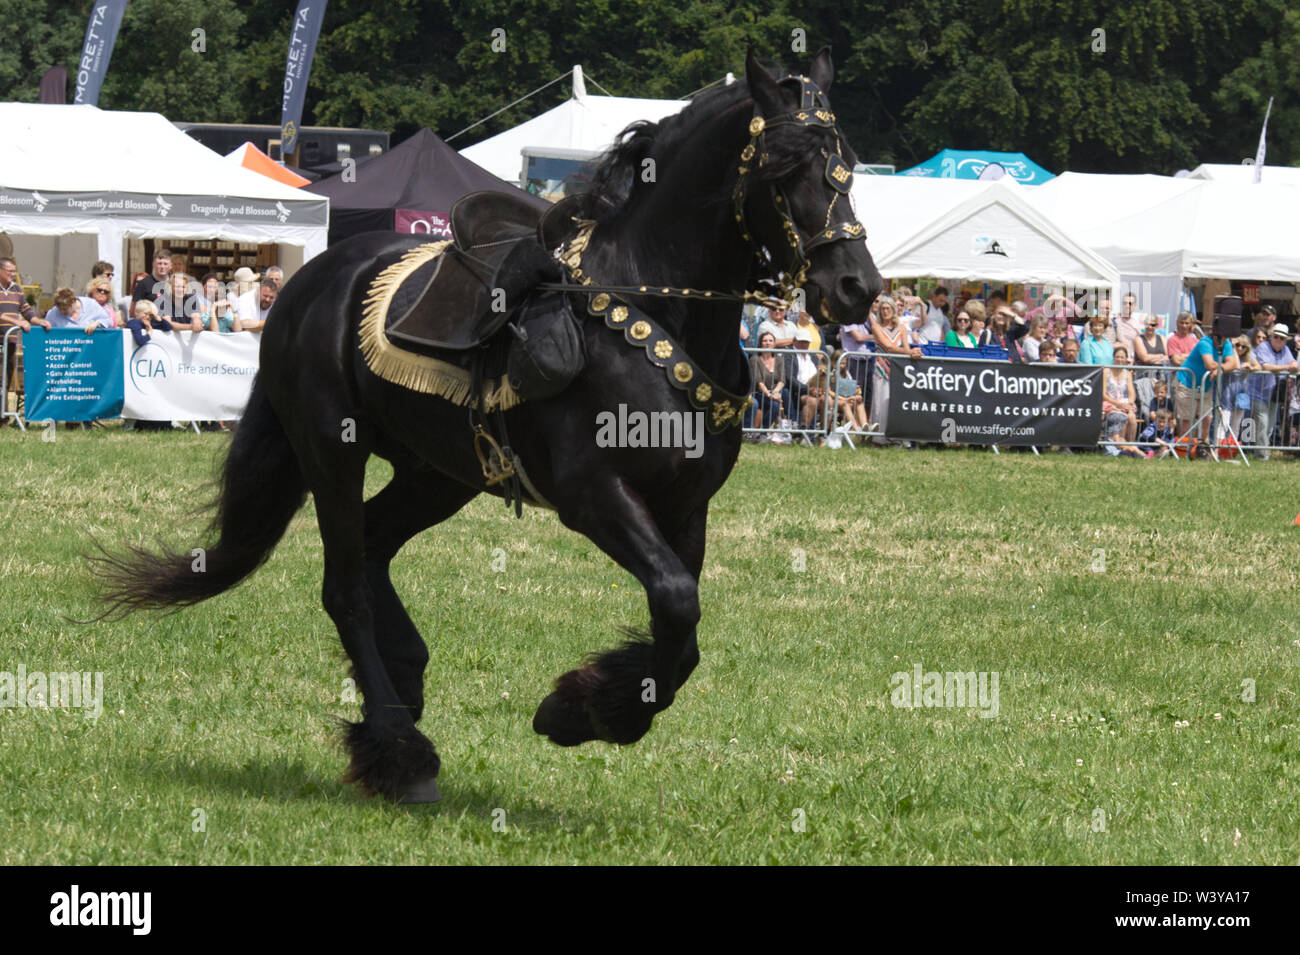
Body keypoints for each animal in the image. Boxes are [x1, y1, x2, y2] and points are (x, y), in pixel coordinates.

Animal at [94, 48, 883, 805]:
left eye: (846, 162)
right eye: (785, 165)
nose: (857, 287)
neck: (652, 310)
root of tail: (309, 283)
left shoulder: (687, 507)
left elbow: (680, 627)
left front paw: (591, 706)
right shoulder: (594, 495)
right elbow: (676, 603)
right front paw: (580, 712)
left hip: (440, 474)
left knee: (374, 548)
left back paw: (399, 689)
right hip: (331, 451)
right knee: (345, 587)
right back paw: (400, 748)